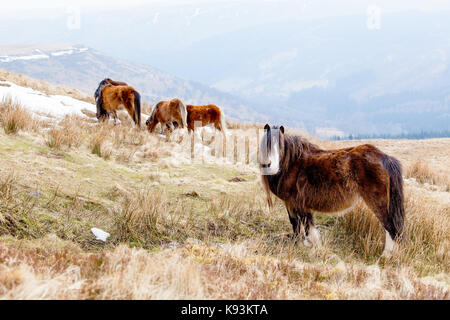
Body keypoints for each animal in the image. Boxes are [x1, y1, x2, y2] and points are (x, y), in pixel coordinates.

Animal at [258, 125, 406, 258]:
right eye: (265, 146)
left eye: (280, 146)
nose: (269, 165)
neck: (292, 164)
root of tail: (385, 157)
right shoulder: (290, 203)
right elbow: (296, 224)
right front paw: (297, 245)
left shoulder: (298, 203)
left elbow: (307, 226)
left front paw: (312, 246)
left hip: (378, 203)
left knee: (391, 228)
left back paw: (386, 256)